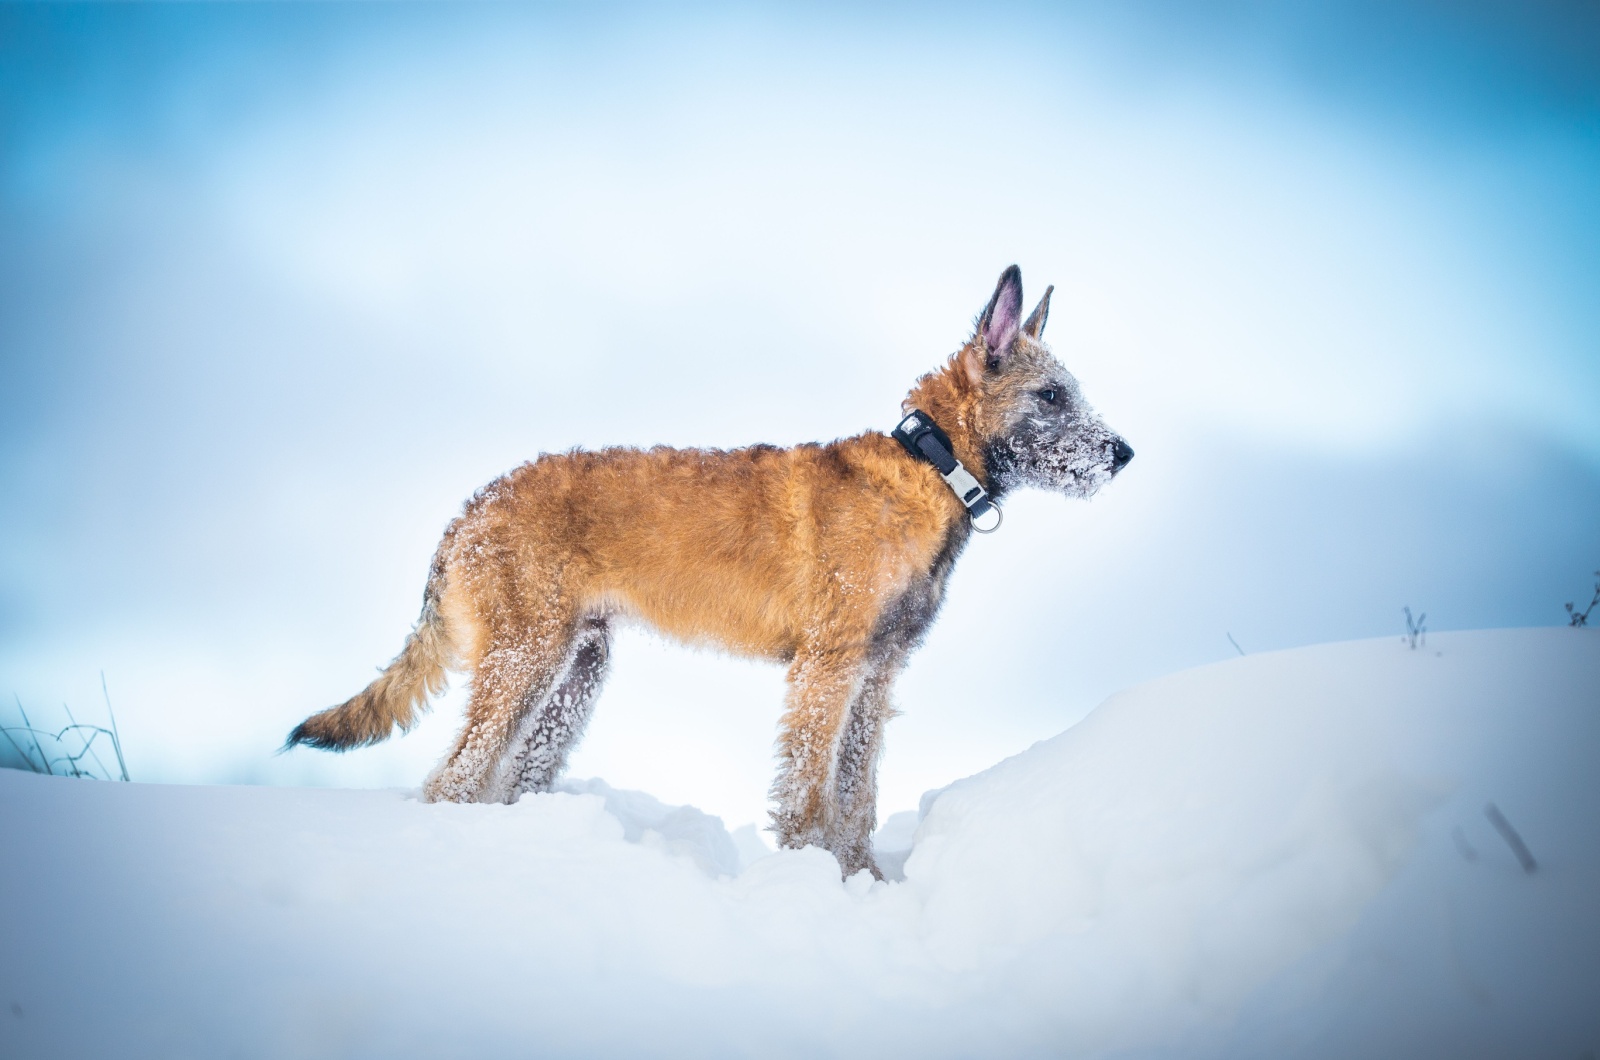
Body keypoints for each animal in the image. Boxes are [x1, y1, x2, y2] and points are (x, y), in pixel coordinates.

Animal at [291, 267, 1139, 877]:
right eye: (1052, 394)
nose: (1122, 453)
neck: (926, 468)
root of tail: (468, 512)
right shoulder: (826, 669)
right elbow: (807, 791)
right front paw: (809, 880)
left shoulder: (875, 676)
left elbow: (856, 791)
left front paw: (862, 880)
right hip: (523, 656)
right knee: (457, 775)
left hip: (575, 671)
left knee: (511, 771)